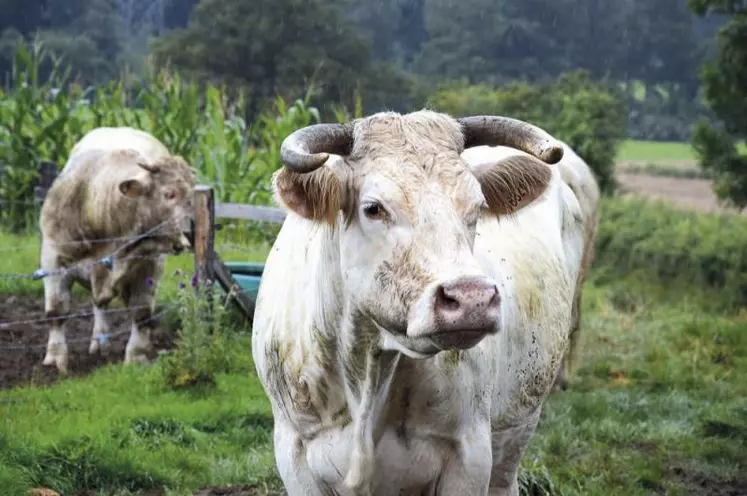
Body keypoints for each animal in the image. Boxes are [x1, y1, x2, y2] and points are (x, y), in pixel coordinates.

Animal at [254, 110, 588, 494]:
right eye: (373, 208)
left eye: (478, 206)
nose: (471, 298)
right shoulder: (294, 452)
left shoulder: (470, 455)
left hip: (515, 434)